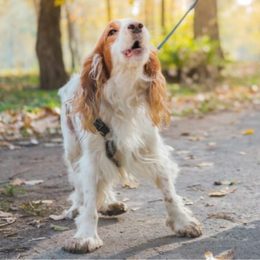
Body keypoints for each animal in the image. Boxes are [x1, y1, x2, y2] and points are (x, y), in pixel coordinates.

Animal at [58, 18, 202, 254]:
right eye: (111, 31)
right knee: (79, 187)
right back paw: (77, 207)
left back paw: (109, 204)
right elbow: (89, 200)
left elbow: (169, 192)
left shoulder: (152, 149)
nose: (137, 25)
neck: (123, 93)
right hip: (72, 151)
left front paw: (182, 222)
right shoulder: (92, 157)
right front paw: (85, 236)